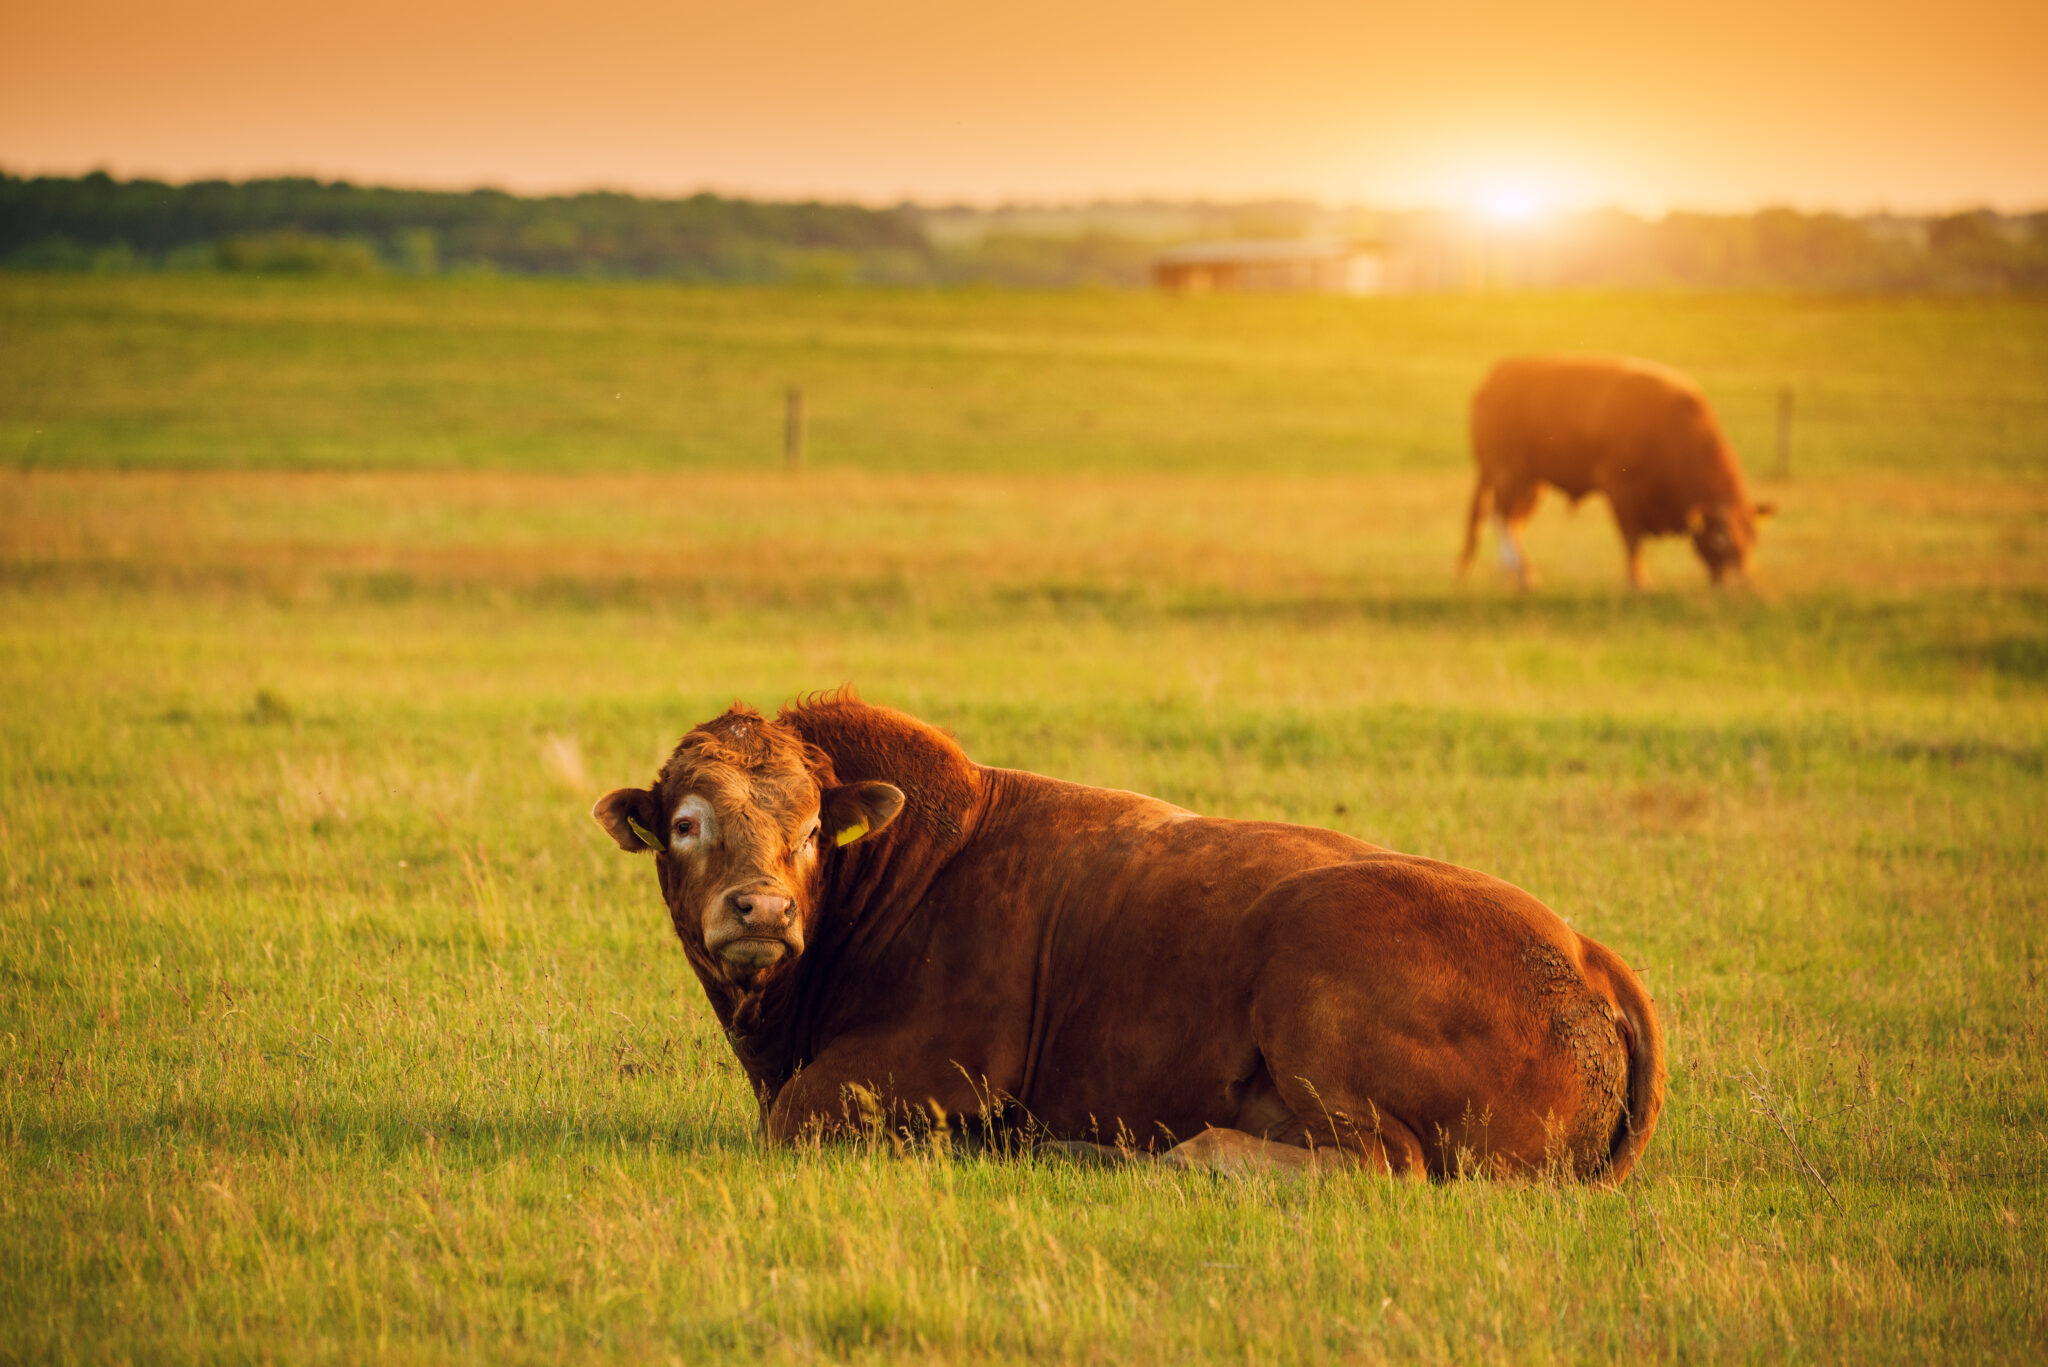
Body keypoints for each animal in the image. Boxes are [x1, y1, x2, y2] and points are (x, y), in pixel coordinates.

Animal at [593, 692, 1666, 1181]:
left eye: (815, 828)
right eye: (686, 821)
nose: (763, 911)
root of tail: (1584, 954)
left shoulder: (934, 1066)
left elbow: (794, 1116)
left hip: (1313, 998)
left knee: (1378, 1162)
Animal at [1458, 354, 1776, 589]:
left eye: (1753, 538)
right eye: (1720, 540)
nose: (1743, 584)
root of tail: (1497, 374)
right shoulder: (1620, 490)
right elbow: (1632, 540)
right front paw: (1638, 583)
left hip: (1531, 482)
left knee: (1513, 521)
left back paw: (1513, 574)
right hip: (1507, 471)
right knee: (1502, 517)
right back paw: (1521, 573)